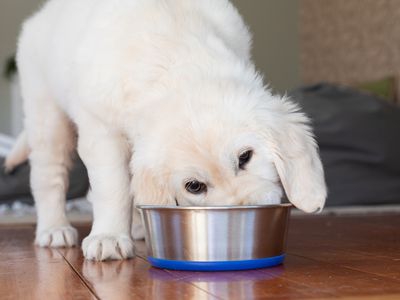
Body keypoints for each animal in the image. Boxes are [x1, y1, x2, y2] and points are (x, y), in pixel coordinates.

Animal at [5, 0, 324, 260]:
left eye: (245, 157)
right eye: (194, 186)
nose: (244, 212)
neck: (176, 62)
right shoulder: (101, 130)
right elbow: (112, 186)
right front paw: (108, 236)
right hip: (46, 115)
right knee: (48, 178)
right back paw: (53, 228)